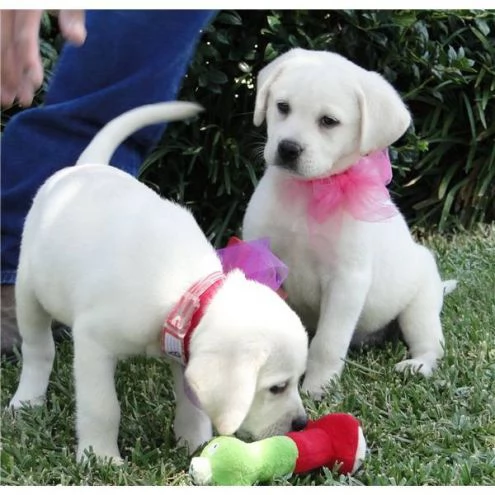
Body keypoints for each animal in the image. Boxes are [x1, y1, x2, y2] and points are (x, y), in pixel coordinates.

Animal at [8, 102, 310, 464]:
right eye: (277, 387)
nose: (301, 424)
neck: (182, 289)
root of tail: (86, 167)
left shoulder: (183, 351)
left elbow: (193, 406)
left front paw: (194, 443)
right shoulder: (93, 342)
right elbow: (102, 407)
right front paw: (101, 456)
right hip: (29, 291)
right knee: (39, 349)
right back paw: (27, 399)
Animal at [242, 49, 456, 400]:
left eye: (328, 121)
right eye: (282, 106)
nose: (288, 148)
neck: (312, 192)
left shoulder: (346, 282)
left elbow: (327, 342)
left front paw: (317, 387)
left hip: (420, 307)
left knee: (431, 345)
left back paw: (416, 365)